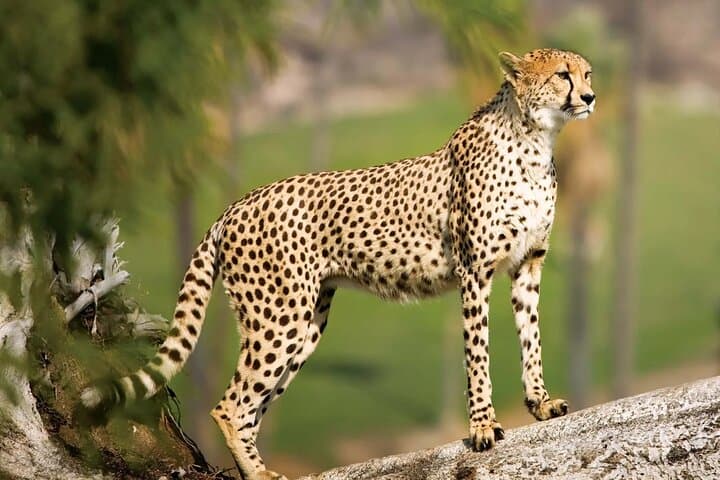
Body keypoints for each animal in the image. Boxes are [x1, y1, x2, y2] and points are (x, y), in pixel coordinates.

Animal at [81, 48, 595, 480]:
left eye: (586, 73)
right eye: (561, 75)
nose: (590, 96)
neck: (535, 140)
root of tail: (236, 204)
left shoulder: (527, 266)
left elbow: (531, 339)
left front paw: (540, 403)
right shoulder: (475, 271)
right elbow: (478, 353)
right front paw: (484, 426)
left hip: (305, 324)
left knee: (251, 406)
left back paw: (259, 467)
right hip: (279, 318)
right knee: (230, 405)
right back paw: (258, 473)